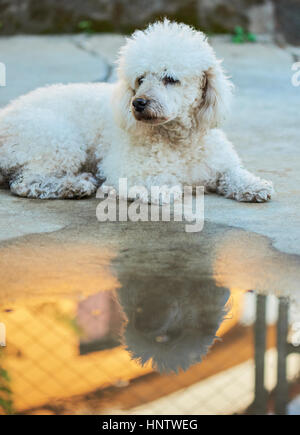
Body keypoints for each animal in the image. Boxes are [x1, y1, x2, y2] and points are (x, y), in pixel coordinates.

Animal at [0, 20, 274, 203]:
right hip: (58, 140)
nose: (138, 103)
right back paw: (76, 185)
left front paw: (254, 185)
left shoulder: (221, 164)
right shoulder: (124, 170)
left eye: (170, 79)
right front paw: (164, 189)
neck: (179, 140)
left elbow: (234, 173)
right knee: (27, 182)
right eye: (140, 79)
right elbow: (155, 181)